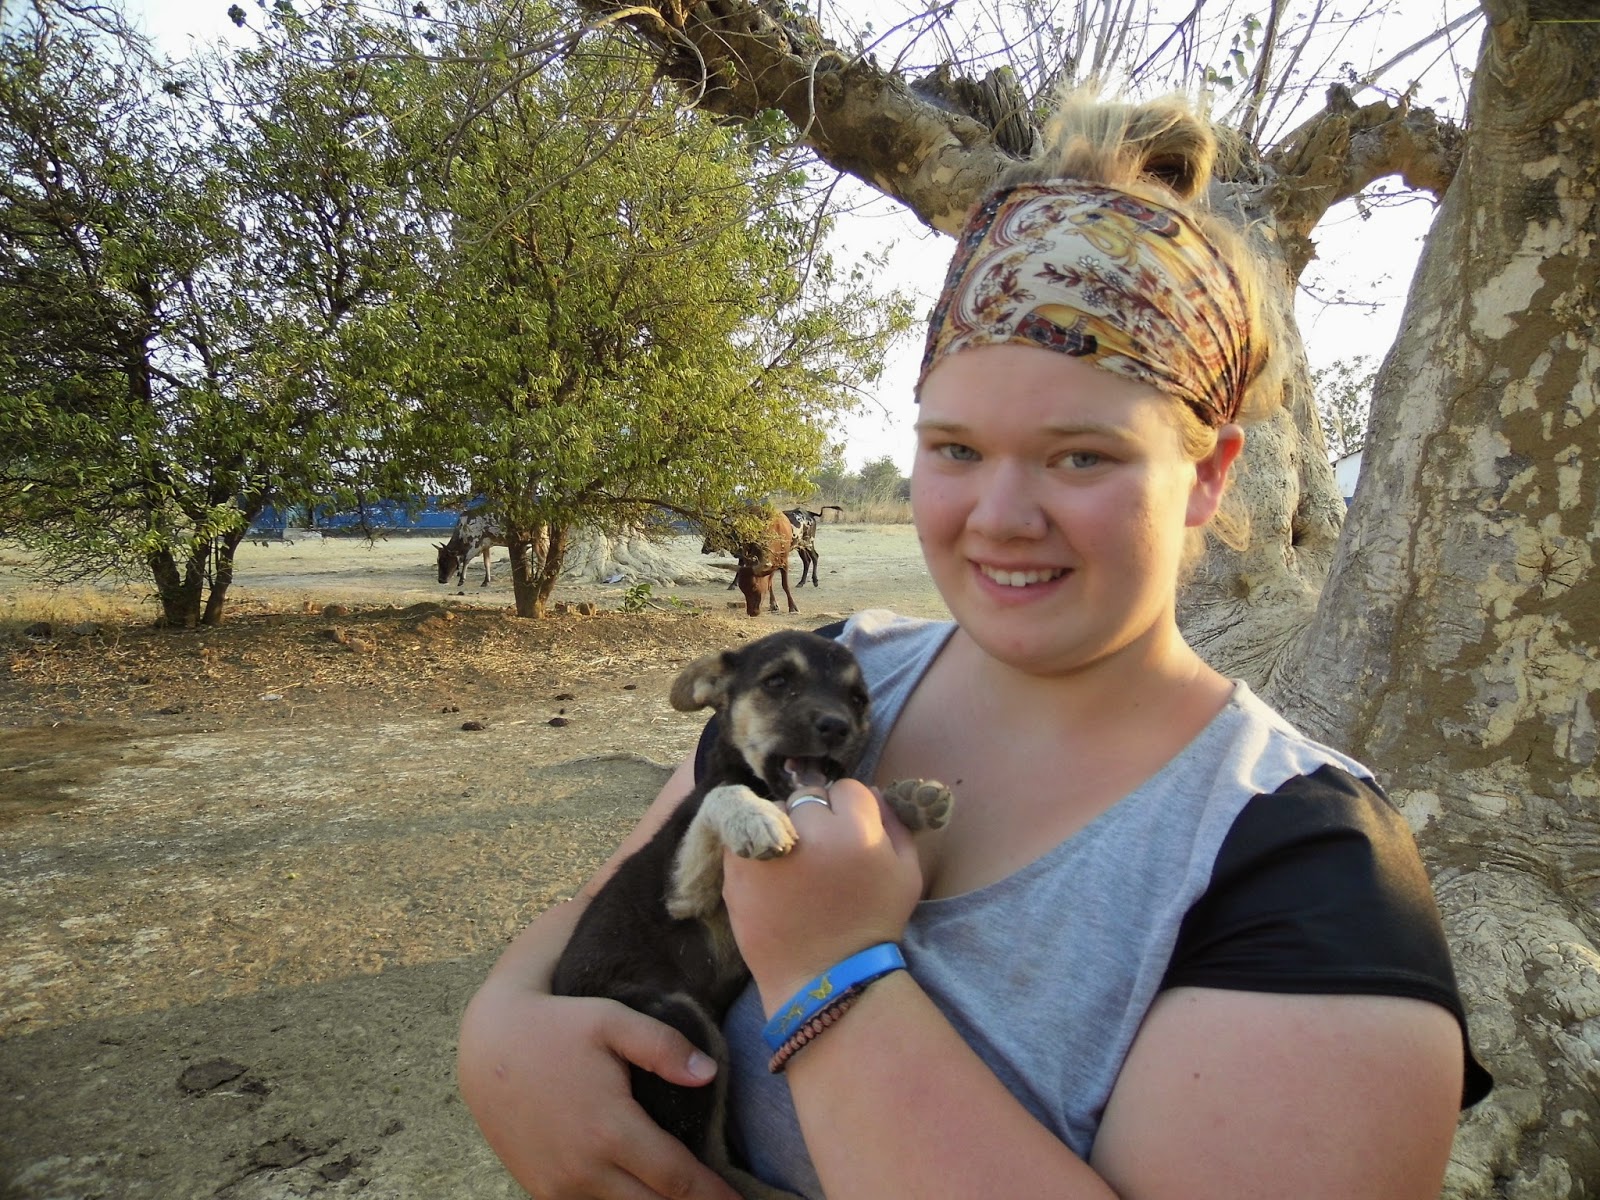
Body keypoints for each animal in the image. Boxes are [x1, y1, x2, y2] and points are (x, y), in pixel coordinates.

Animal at [551, 629, 952, 1200]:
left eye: (858, 700)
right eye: (778, 681)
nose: (837, 726)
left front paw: (907, 799)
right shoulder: (682, 893)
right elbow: (720, 795)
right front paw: (753, 817)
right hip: (680, 1021)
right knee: (704, 1161)